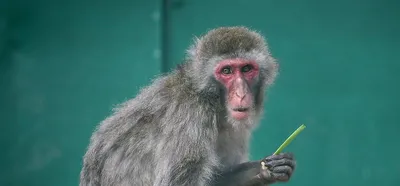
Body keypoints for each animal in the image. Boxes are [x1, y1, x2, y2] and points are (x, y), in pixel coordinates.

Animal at [79, 26, 296, 186]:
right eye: (226, 71)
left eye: (247, 69)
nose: (241, 93)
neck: (209, 99)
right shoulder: (191, 117)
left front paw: (262, 170)